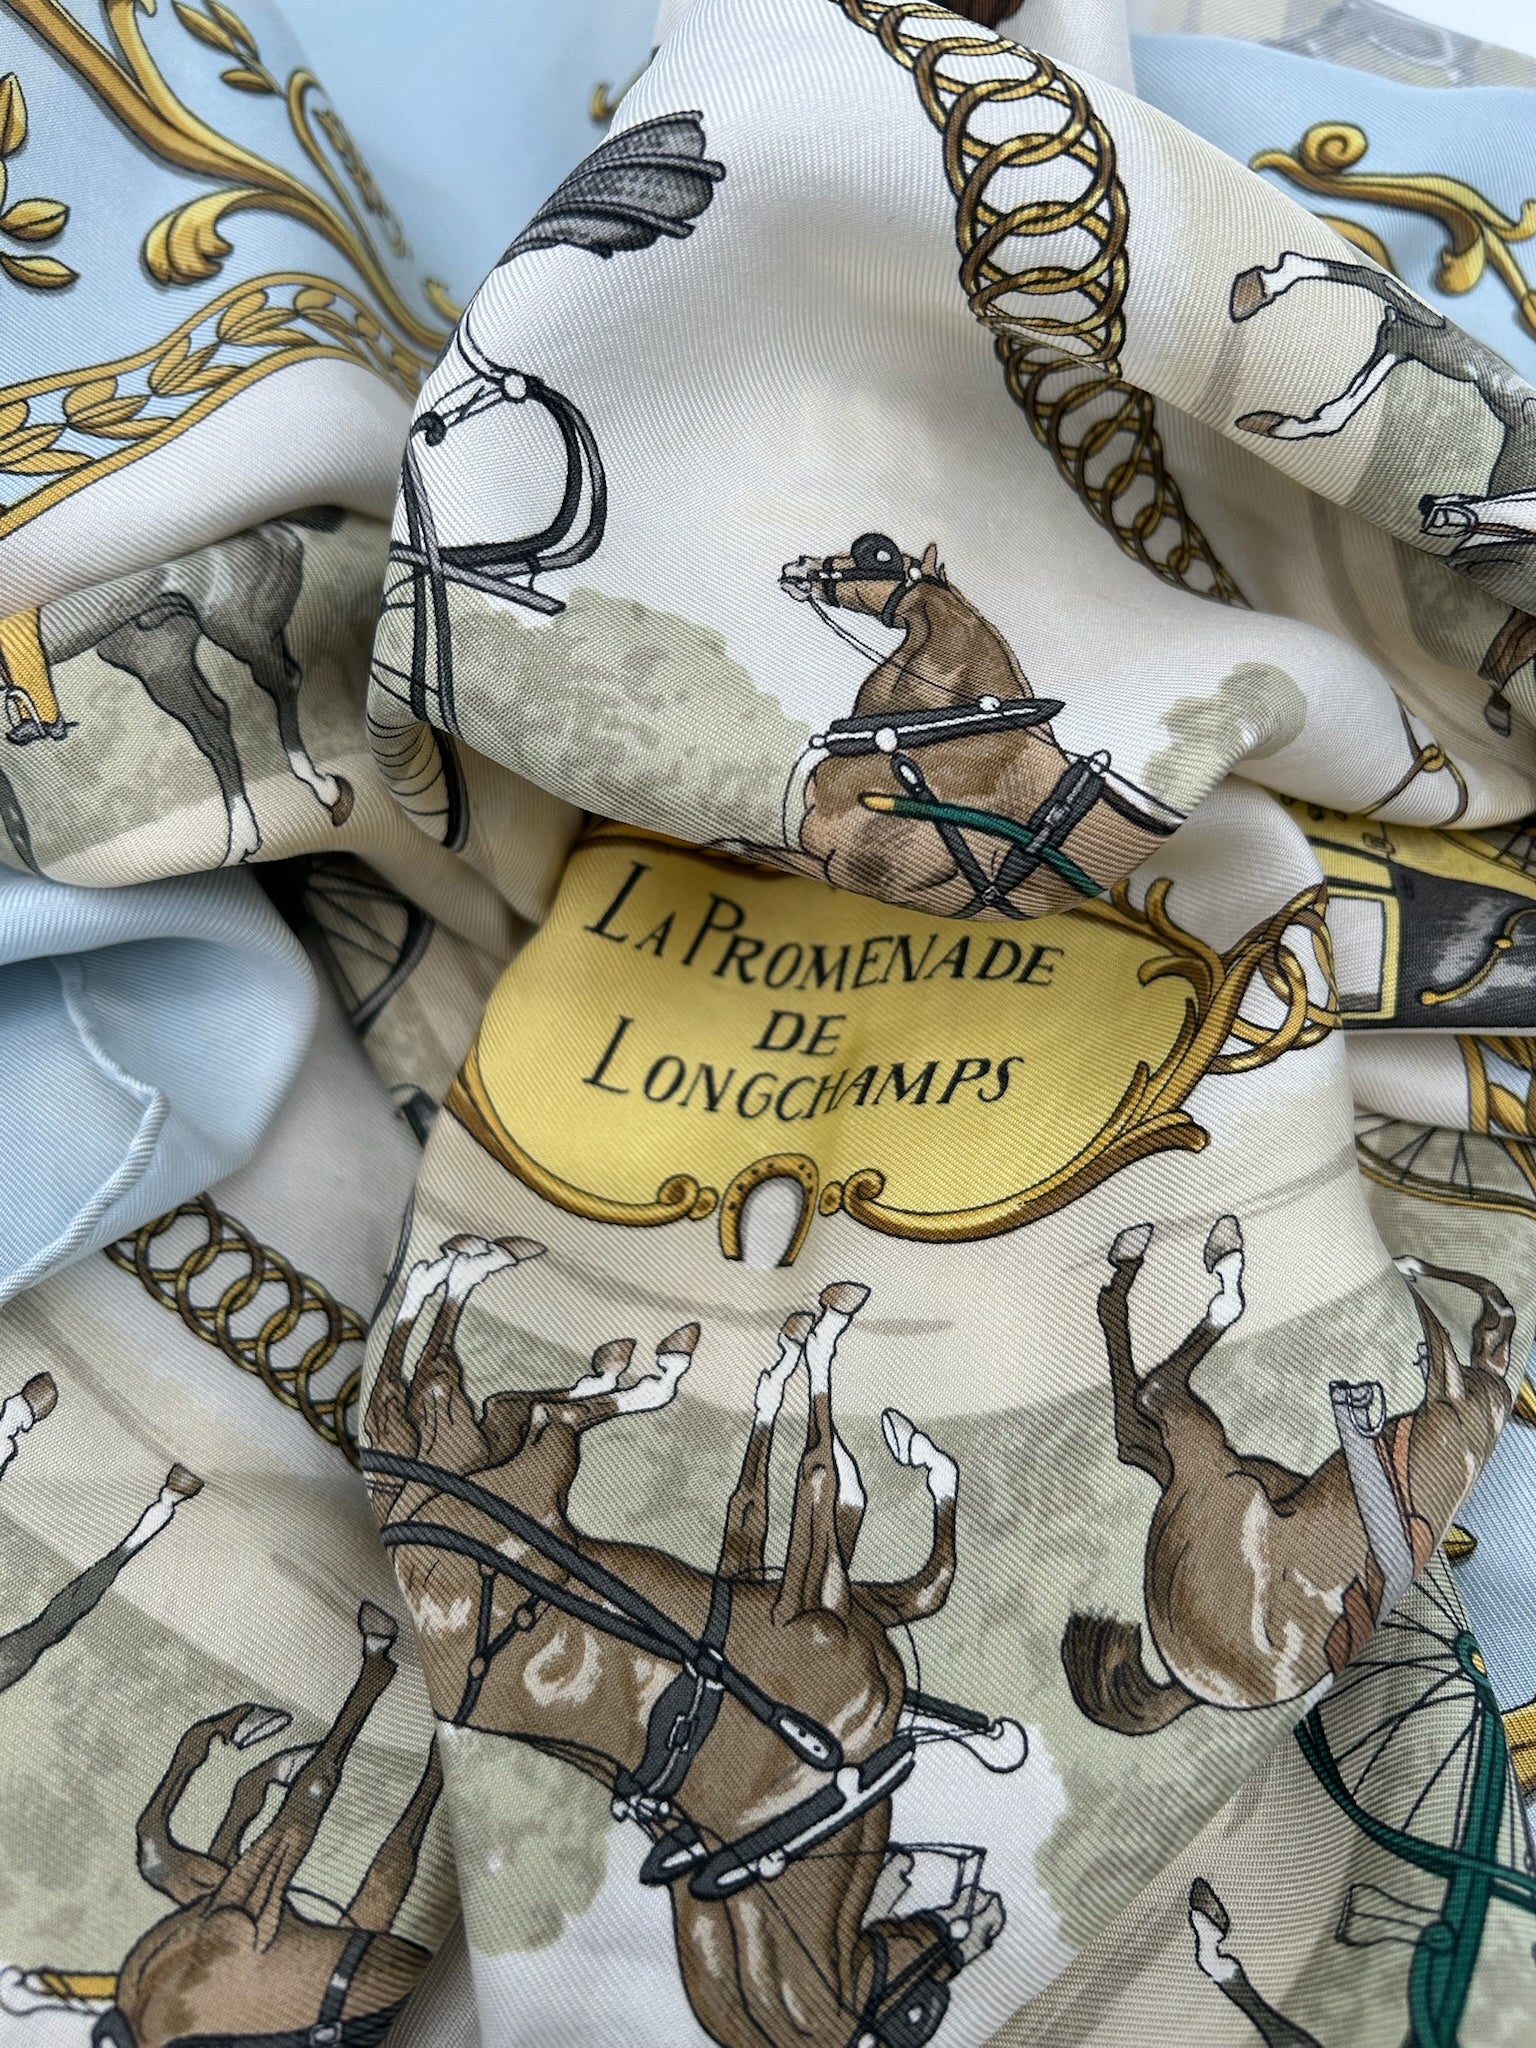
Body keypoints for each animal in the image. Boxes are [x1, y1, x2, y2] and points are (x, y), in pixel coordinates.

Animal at [0, 512, 353, 869]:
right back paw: (242, 838)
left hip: (236, 624)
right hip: (154, 656)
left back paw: (322, 789)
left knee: (283, 682)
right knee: (213, 725)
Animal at [362, 1233, 1026, 2048]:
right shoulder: (811, 1612)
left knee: (472, 1395)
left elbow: (782, 1510)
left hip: (478, 1446)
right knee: (531, 1408)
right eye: (922, 2007)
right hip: (538, 1461)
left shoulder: (801, 1599)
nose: (982, 1906)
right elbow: (834, 1486)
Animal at [1060, 1216, 1515, 1733]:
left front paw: (1407, 1270)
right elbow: (1494, 1309)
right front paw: (1407, 1267)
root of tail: (1187, 1681)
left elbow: (1474, 1313)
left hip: (1219, 1472)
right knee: (1136, 1435)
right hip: (1247, 1472)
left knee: (1153, 1395)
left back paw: (1204, 1253)